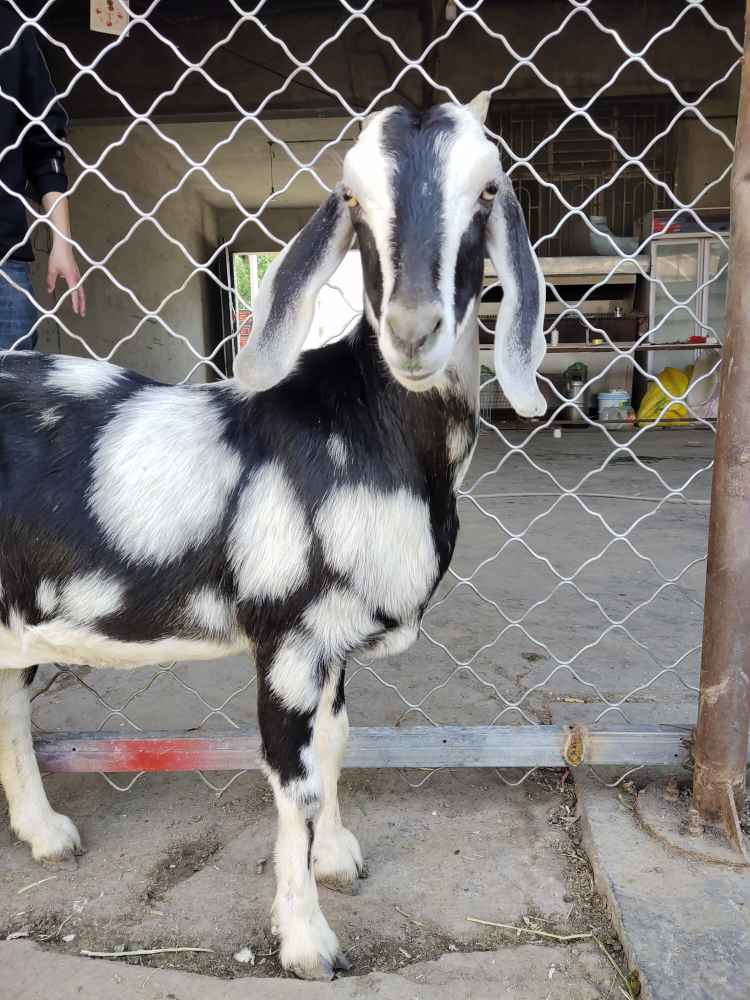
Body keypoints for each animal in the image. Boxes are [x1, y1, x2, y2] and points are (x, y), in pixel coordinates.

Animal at [0, 95, 544, 984]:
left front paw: (339, 858)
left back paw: (46, 834)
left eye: (489, 189)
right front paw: (308, 941)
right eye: (352, 198)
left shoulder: (333, 643)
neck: (367, 426)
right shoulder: (287, 638)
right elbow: (295, 783)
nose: (413, 329)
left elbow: (337, 746)